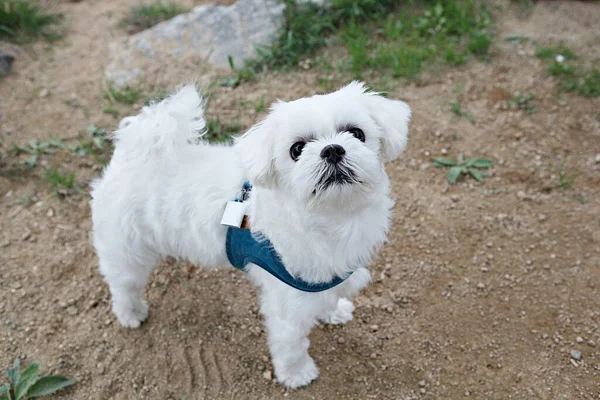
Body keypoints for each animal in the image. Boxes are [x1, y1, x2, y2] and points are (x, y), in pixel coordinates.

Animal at [91, 81, 410, 388]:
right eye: (297, 149)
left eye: (356, 133)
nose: (332, 149)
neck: (333, 216)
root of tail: (130, 155)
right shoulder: (287, 304)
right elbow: (291, 344)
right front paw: (297, 375)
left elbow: (329, 295)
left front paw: (333, 312)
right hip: (126, 250)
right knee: (123, 285)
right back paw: (131, 314)